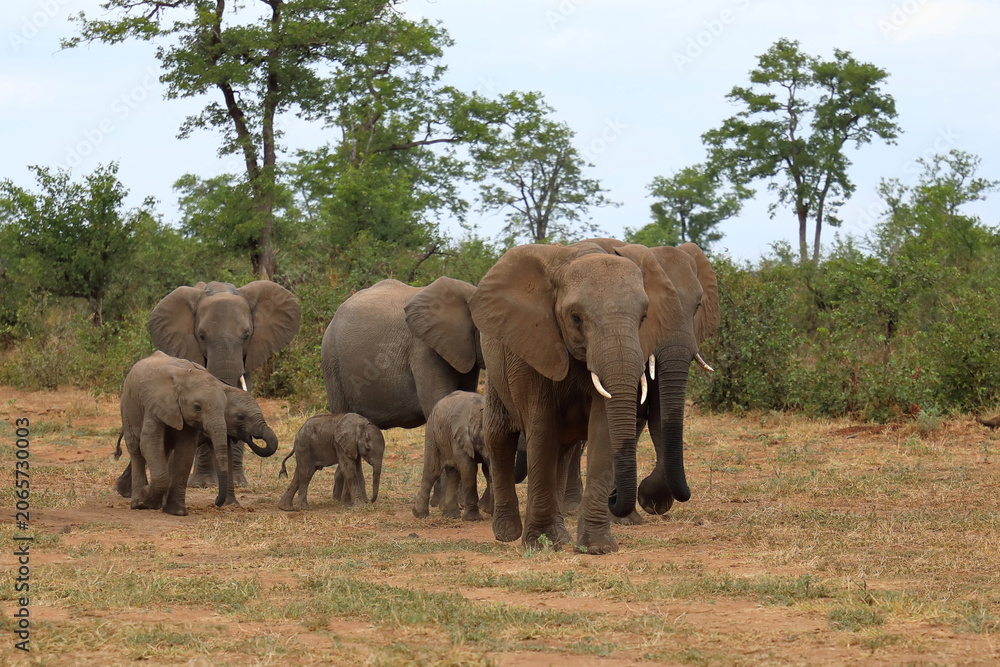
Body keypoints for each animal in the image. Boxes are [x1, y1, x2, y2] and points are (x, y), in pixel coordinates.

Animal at [116, 352, 279, 515]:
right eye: (241, 417)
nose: (216, 501)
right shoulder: (156, 404)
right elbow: (150, 443)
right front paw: (149, 498)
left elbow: (199, 452)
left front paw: (231, 505)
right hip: (130, 406)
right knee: (138, 448)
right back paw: (136, 500)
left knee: (163, 450)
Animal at [412, 391, 490, 522]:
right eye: (480, 441)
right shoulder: (458, 436)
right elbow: (468, 468)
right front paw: (473, 519)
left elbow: (488, 469)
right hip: (432, 434)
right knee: (432, 472)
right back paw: (420, 515)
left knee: (454, 474)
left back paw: (450, 515)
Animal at [468, 241, 678, 553]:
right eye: (576, 318)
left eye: (643, 318)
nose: (620, 500)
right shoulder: (535, 347)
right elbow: (541, 429)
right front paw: (537, 545)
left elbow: (602, 430)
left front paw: (597, 548)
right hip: (496, 366)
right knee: (500, 437)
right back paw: (508, 533)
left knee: (562, 451)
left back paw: (560, 538)